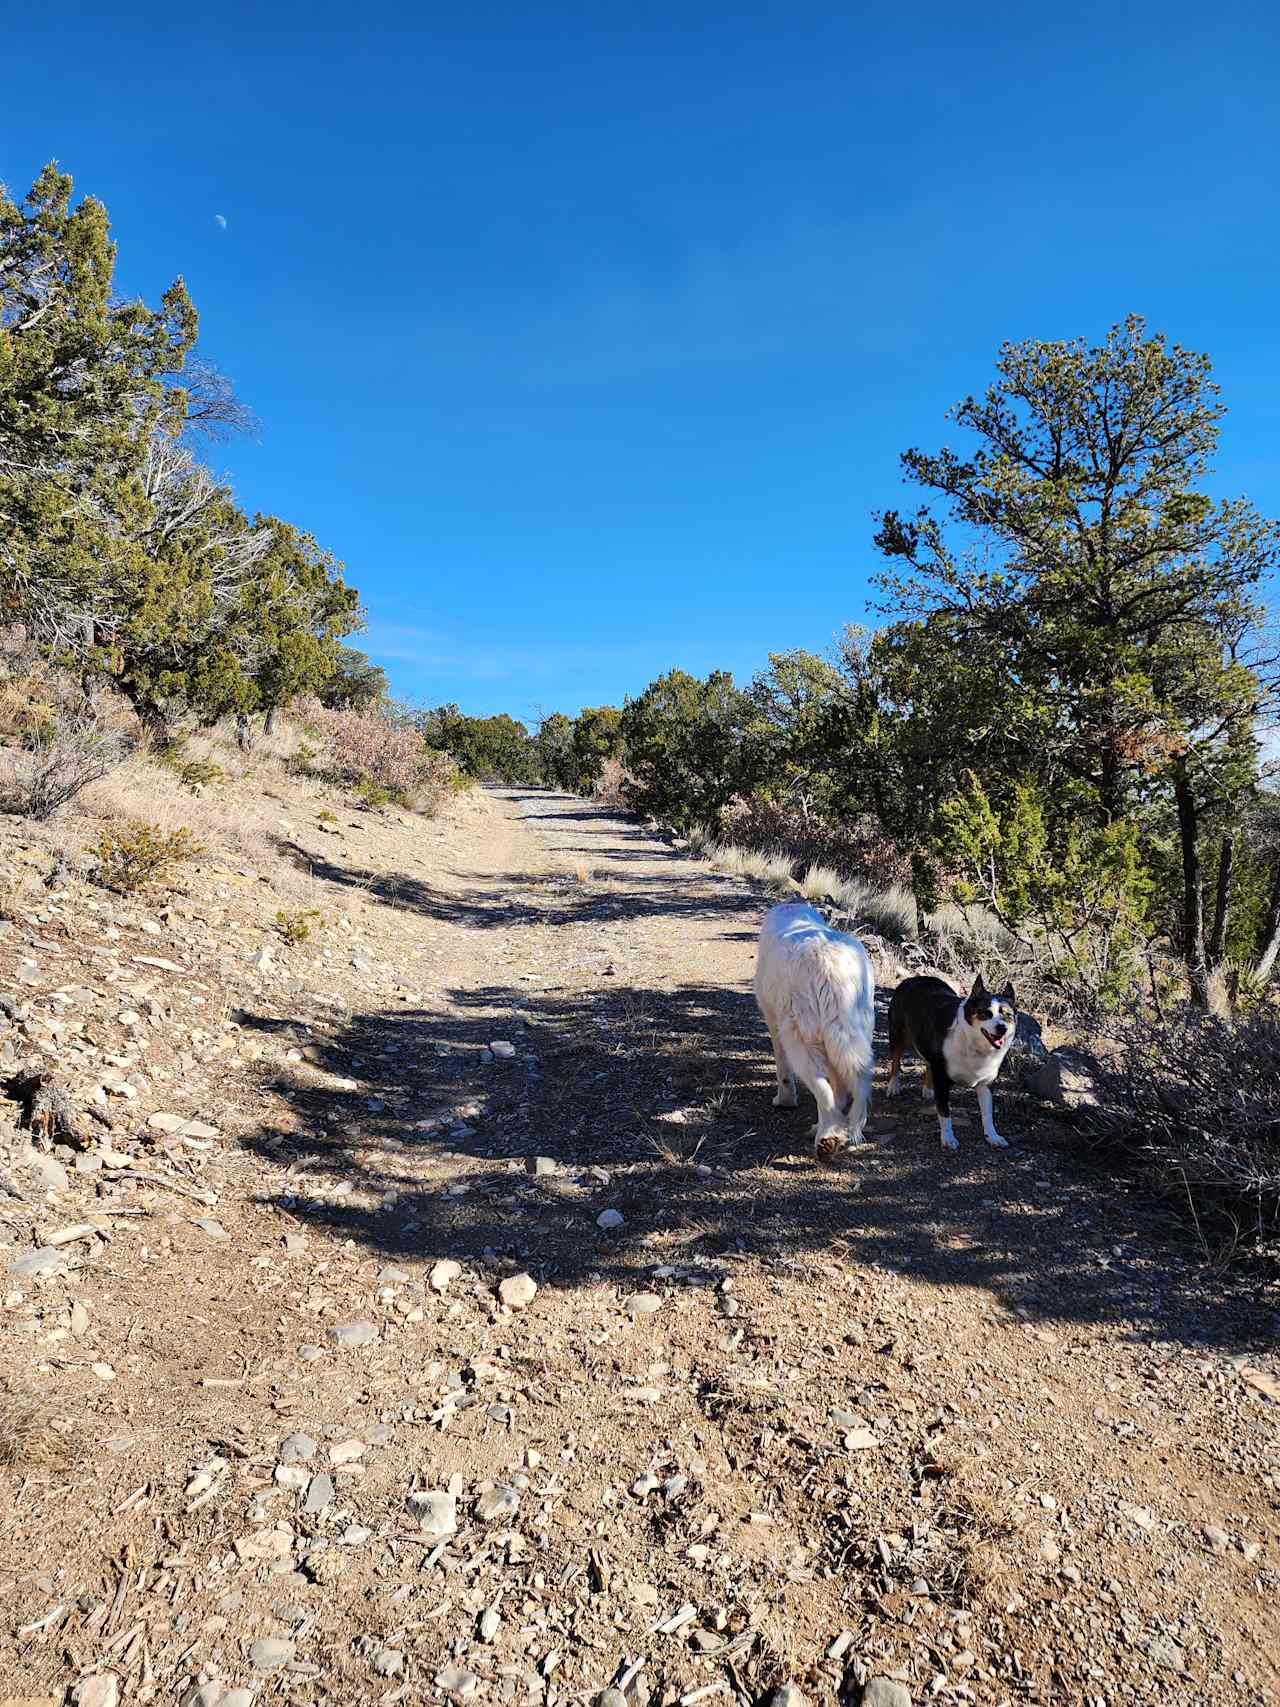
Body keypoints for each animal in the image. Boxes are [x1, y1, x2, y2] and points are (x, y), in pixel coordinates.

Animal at [757, 894, 880, 1160]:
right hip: (853, 1029)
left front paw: (784, 1100)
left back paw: (827, 1136)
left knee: (822, 1088)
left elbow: (783, 1068)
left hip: (801, 1034)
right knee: (850, 1082)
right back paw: (834, 1128)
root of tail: (830, 967)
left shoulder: (773, 1019)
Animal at [887, 976, 1017, 1147]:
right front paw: (948, 1138)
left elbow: (987, 1114)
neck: (972, 1043)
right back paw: (893, 1085)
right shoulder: (942, 1079)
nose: (1002, 1028)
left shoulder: (985, 1085)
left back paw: (928, 1089)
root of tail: (914, 978)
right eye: (986, 1013)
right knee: (895, 1060)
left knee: (928, 1064)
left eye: (1008, 1015)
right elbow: (944, 1112)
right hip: (898, 1035)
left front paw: (992, 1136)